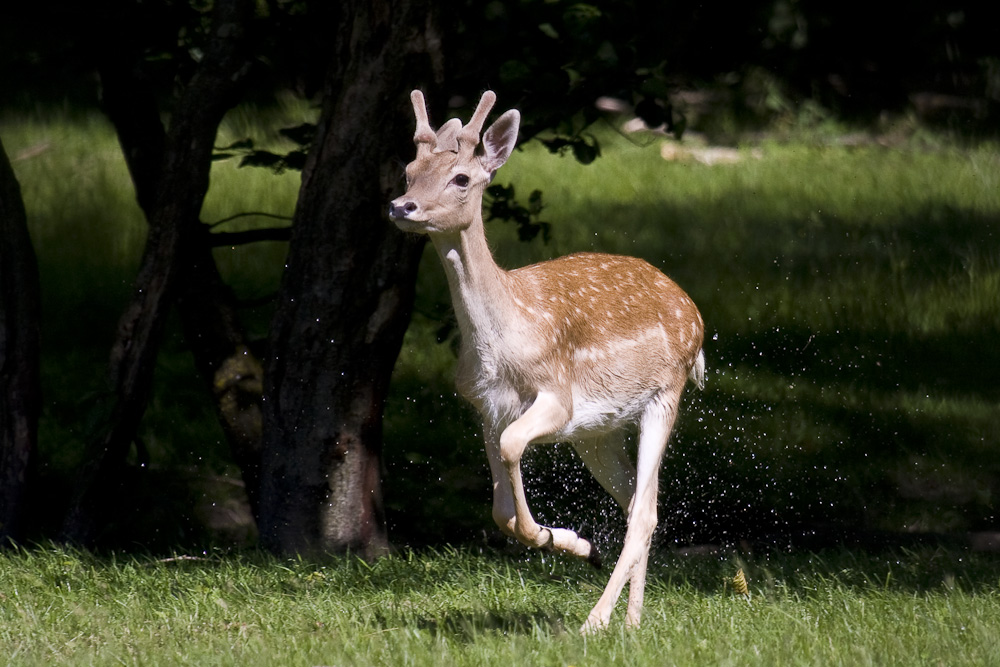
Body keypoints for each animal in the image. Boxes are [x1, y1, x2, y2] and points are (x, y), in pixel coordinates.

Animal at [386, 91, 708, 636]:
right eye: (409, 170)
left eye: (461, 178)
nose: (400, 205)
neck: (502, 342)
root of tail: (696, 315)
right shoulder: (485, 406)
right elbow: (500, 511)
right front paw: (578, 545)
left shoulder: (557, 394)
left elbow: (515, 452)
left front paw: (569, 542)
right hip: (598, 432)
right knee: (639, 504)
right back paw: (631, 622)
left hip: (665, 394)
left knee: (644, 511)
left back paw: (596, 622)